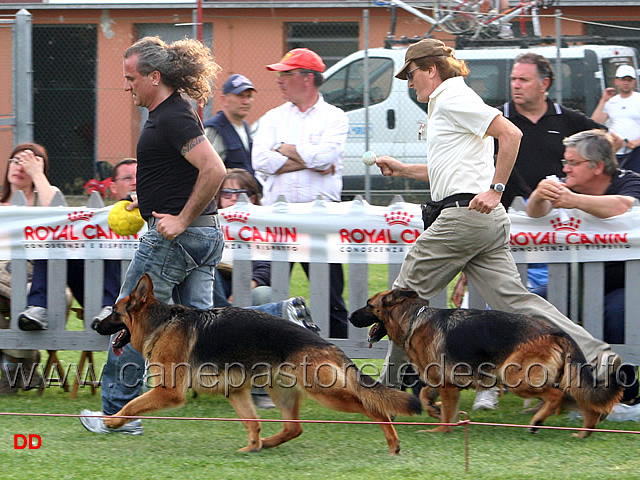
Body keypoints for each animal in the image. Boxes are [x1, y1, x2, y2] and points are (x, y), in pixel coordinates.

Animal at [95, 274, 422, 454]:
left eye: (114, 312)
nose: (96, 324)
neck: (161, 323)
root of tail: (325, 343)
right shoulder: (236, 392)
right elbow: (252, 422)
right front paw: (252, 445)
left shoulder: (168, 392)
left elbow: (133, 404)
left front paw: (112, 420)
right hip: (282, 391)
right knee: (293, 428)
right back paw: (266, 444)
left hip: (325, 393)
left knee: (374, 408)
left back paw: (392, 441)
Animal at [348, 286, 624, 436]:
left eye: (368, 304)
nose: (349, 317)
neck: (413, 318)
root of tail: (556, 332)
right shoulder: (441, 382)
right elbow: (426, 395)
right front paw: (433, 410)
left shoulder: (448, 386)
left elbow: (446, 414)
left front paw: (440, 430)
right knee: (582, 402)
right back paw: (584, 432)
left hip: (515, 378)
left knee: (556, 397)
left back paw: (537, 422)